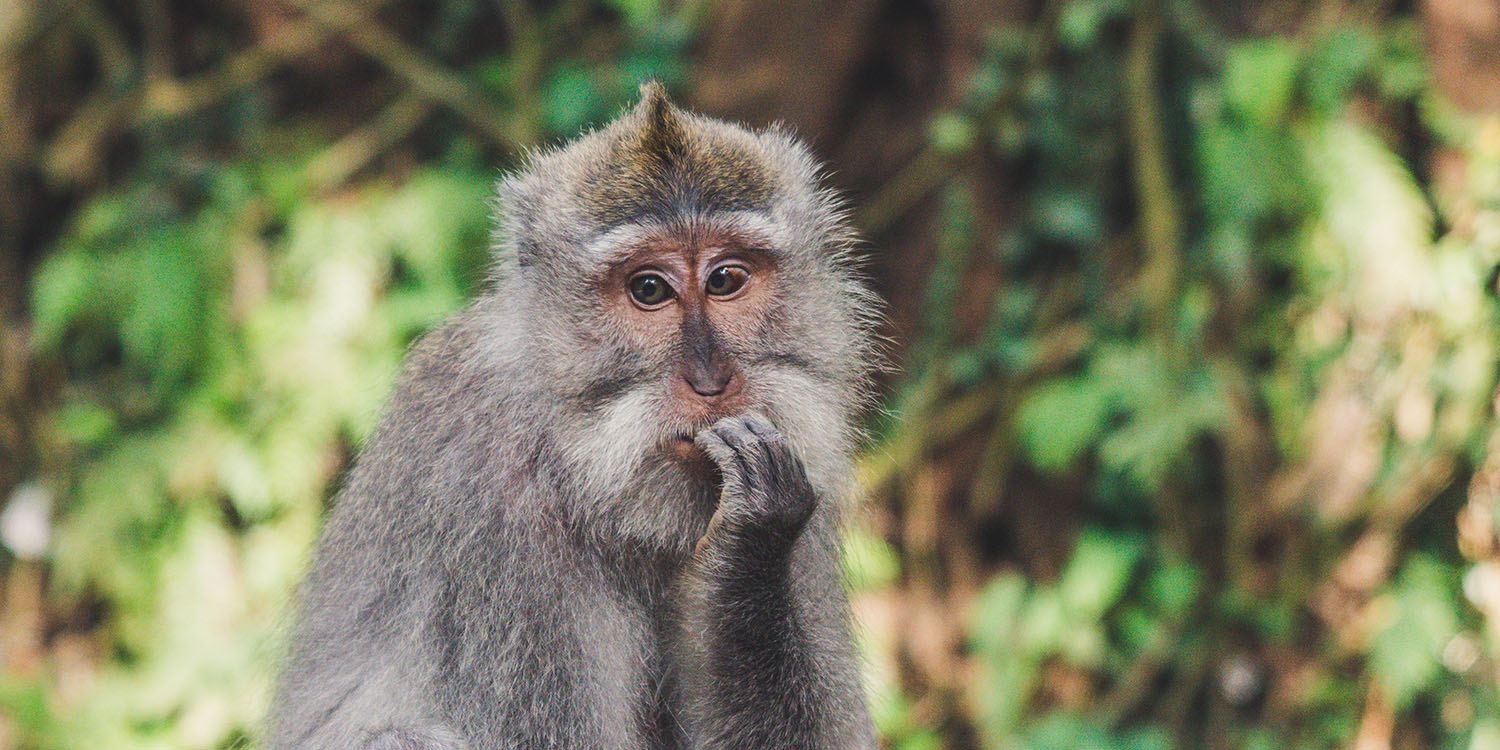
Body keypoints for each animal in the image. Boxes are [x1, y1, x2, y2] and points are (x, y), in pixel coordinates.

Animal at [268, 82, 881, 749]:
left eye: (725, 279)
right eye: (648, 290)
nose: (711, 380)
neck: (580, 466)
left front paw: (751, 551)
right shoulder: (494, 512)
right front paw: (751, 537)